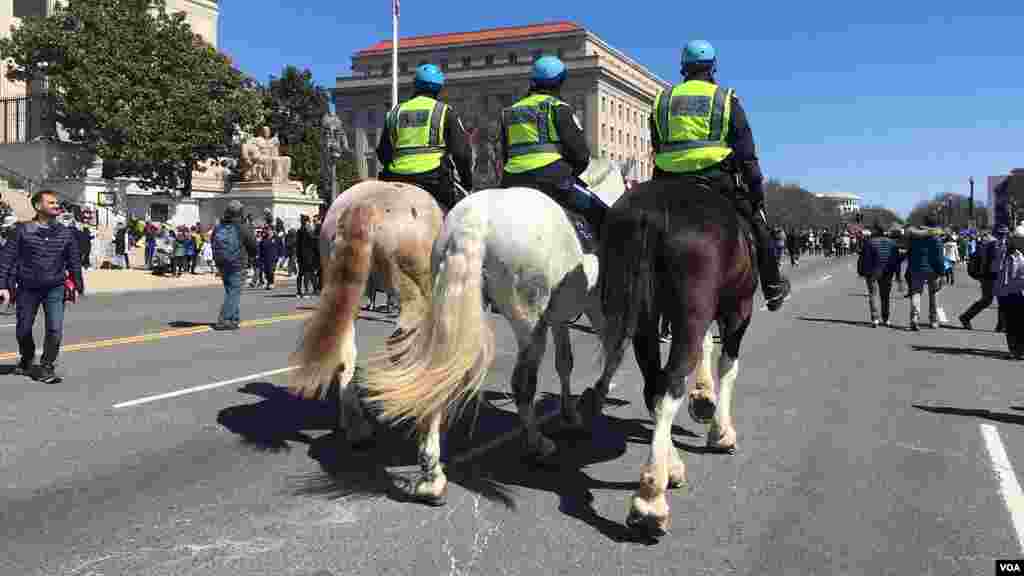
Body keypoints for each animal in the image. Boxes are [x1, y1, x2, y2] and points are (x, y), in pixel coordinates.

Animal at [362, 158, 625, 505]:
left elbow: (565, 363)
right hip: (529, 322)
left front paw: (570, 413)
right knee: (523, 383)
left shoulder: (558, 319)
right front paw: (595, 396)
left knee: (438, 374)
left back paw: (431, 476)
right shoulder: (595, 310)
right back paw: (537, 445)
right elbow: (610, 352)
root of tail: (474, 222)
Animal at [583, 173, 756, 538]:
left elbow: (706, 349)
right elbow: (728, 367)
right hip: (693, 311)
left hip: (645, 316)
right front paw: (721, 431)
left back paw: (669, 468)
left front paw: (703, 398)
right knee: (669, 386)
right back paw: (651, 499)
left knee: (654, 385)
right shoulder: (738, 309)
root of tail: (650, 211)